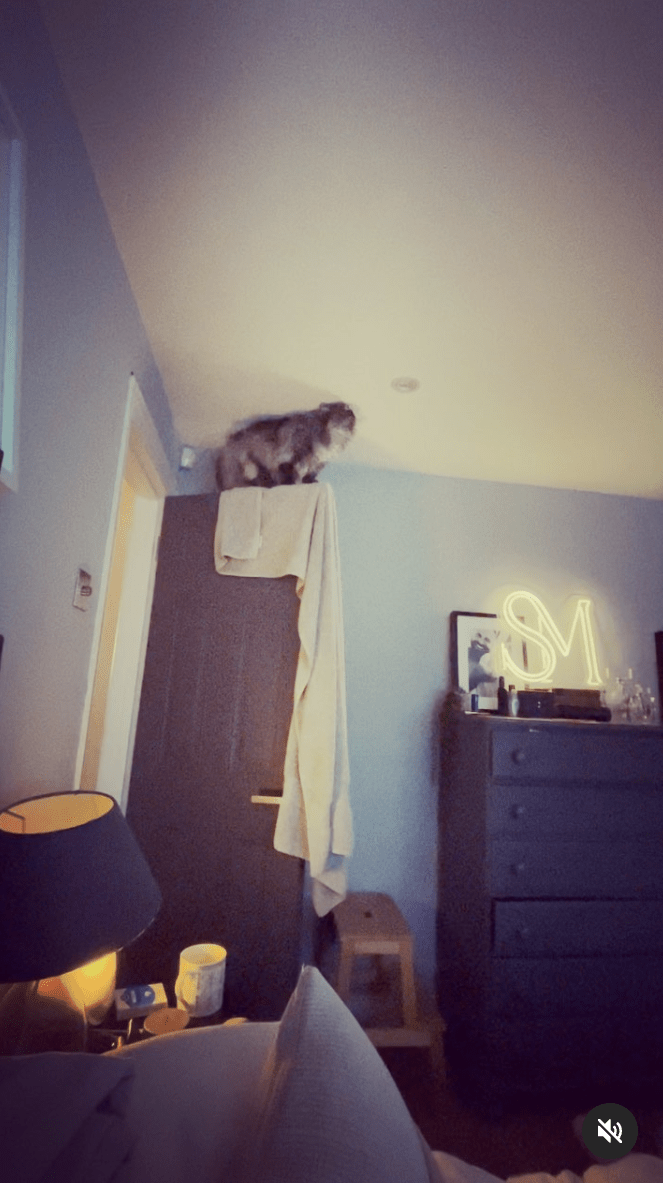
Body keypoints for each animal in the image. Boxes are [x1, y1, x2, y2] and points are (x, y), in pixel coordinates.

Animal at [215, 399, 355, 487]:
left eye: (350, 410)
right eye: (344, 409)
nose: (353, 413)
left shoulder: (318, 462)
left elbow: (309, 475)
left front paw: (309, 482)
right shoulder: (295, 454)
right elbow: (293, 471)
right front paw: (292, 484)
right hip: (250, 463)